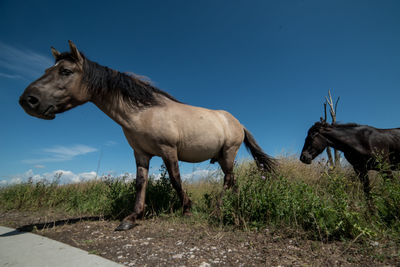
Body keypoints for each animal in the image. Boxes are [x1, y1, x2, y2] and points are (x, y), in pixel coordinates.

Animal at [18, 40, 276, 231]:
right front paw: (132, 218)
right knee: (232, 181)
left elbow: (175, 180)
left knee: (228, 179)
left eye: (66, 71)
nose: (28, 100)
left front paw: (187, 209)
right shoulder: (140, 154)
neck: (144, 111)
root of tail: (238, 123)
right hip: (222, 157)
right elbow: (140, 183)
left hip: (228, 153)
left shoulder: (168, 150)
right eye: (47, 70)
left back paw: (219, 208)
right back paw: (235, 203)